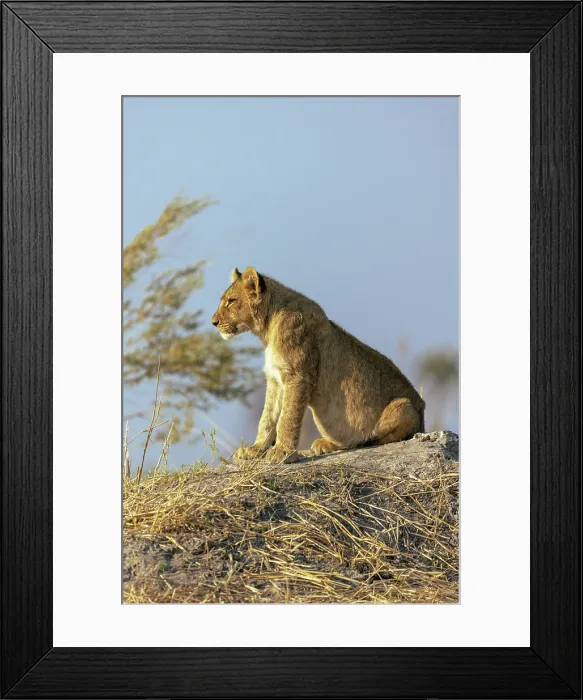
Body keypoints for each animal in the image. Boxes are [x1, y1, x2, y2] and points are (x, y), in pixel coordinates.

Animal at [211, 267, 425, 464]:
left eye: (231, 301)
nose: (214, 322)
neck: (267, 327)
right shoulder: (274, 379)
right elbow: (267, 418)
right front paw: (254, 450)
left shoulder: (298, 376)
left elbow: (287, 418)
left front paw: (282, 452)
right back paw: (326, 444)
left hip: (404, 406)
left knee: (375, 438)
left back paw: (361, 440)